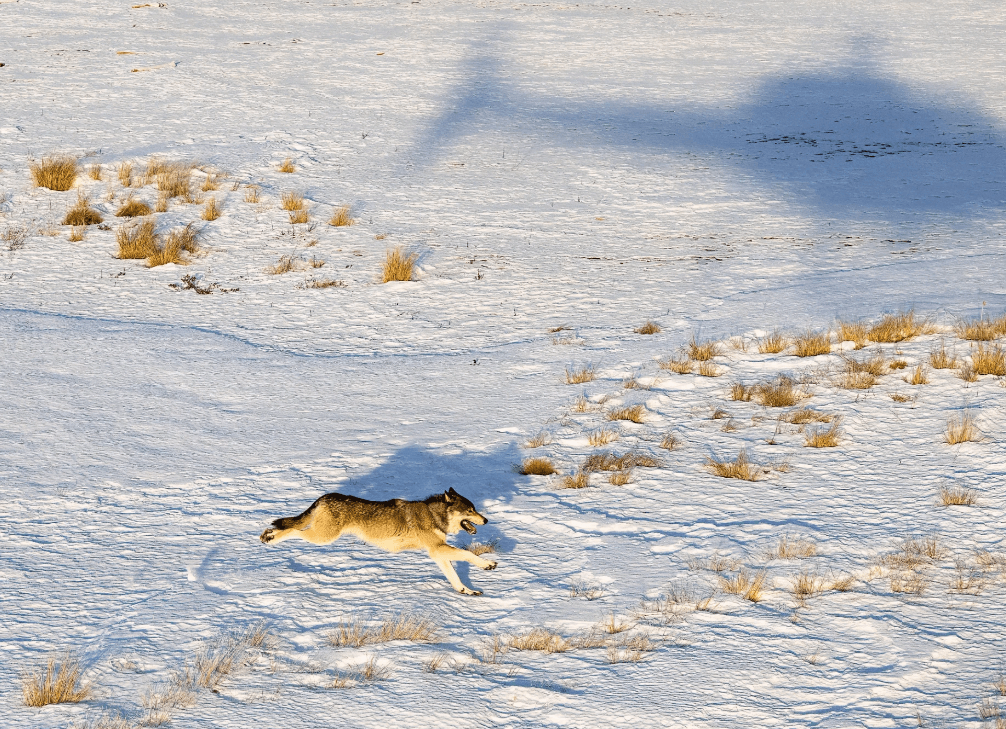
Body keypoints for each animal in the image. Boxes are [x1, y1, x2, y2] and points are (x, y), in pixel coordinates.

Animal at [260, 487, 497, 595]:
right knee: (292, 530)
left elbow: (454, 577)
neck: (433, 515)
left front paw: (467, 591)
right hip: (322, 537)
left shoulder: (437, 552)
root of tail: (326, 496)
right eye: (470, 510)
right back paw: (270, 538)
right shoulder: (437, 549)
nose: (486, 520)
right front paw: (488, 564)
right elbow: (467, 554)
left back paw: (267, 535)